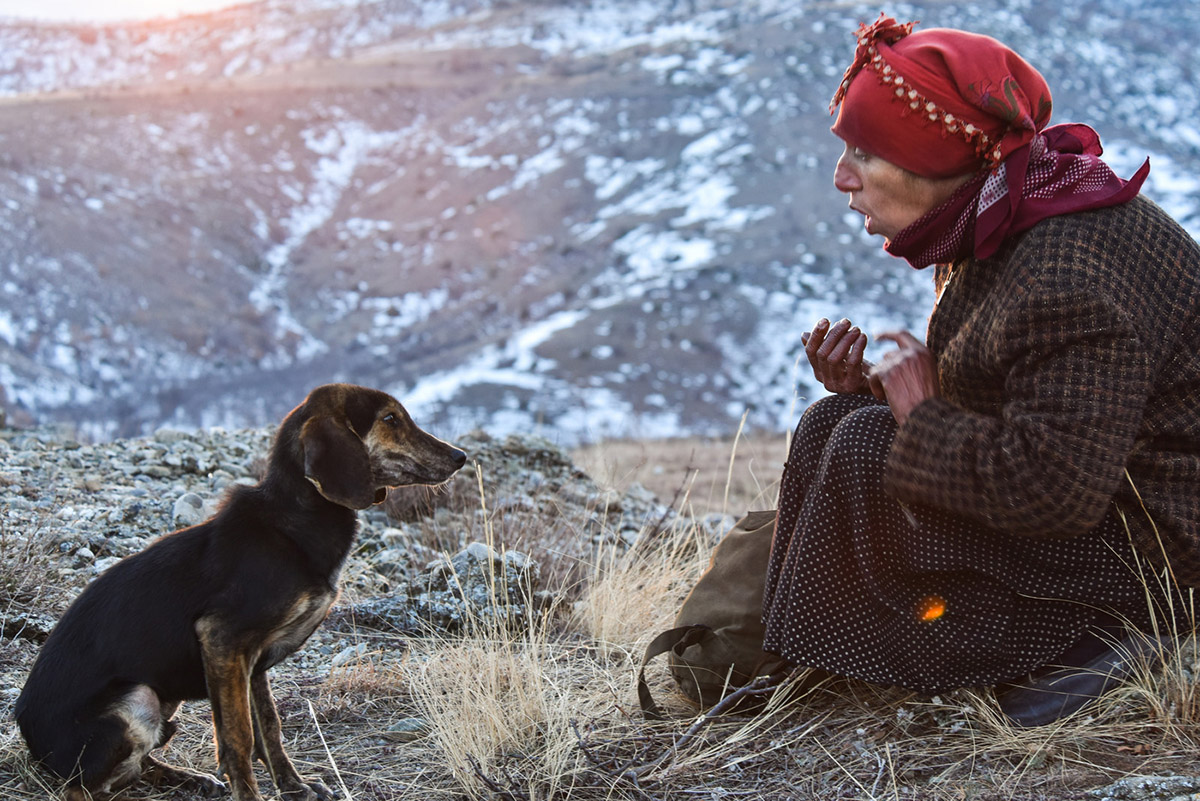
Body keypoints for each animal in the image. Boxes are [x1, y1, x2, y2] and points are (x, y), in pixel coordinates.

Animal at [15, 383, 463, 801]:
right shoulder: (222, 640)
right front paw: (251, 793)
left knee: (136, 768)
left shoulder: (252, 662)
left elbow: (269, 726)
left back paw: (190, 779)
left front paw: (294, 787)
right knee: (85, 786)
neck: (294, 519)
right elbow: (239, 738)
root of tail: (32, 744)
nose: (460, 456)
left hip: (163, 698)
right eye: (390, 418)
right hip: (138, 700)